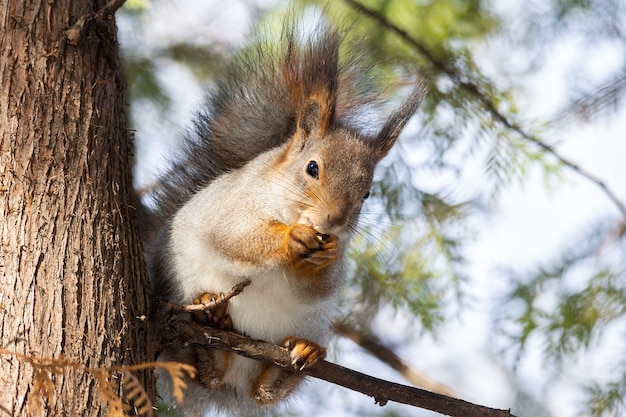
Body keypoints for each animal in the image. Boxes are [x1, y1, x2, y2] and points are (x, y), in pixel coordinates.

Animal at [143, 14, 422, 414]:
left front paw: (324, 256)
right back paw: (210, 323)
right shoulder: (229, 206)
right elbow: (231, 236)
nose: (334, 221)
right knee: (200, 370)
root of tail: (230, 388)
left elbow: (318, 287)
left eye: (368, 192)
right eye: (312, 168)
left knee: (264, 391)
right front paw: (292, 239)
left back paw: (298, 357)